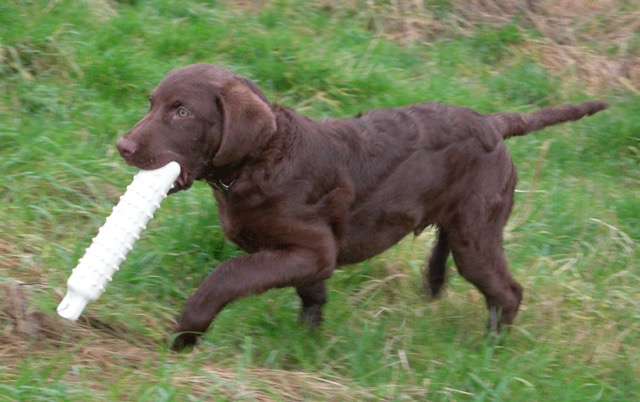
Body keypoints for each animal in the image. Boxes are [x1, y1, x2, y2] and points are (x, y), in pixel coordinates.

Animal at [116, 62, 608, 348]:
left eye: (182, 112)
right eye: (152, 104)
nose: (122, 147)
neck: (262, 162)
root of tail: (493, 123)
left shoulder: (312, 248)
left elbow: (228, 274)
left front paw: (186, 332)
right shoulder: (310, 257)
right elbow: (312, 293)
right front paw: (307, 344)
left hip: (478, 233)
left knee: (507, 291)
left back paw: (492, 350)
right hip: (461, 223)